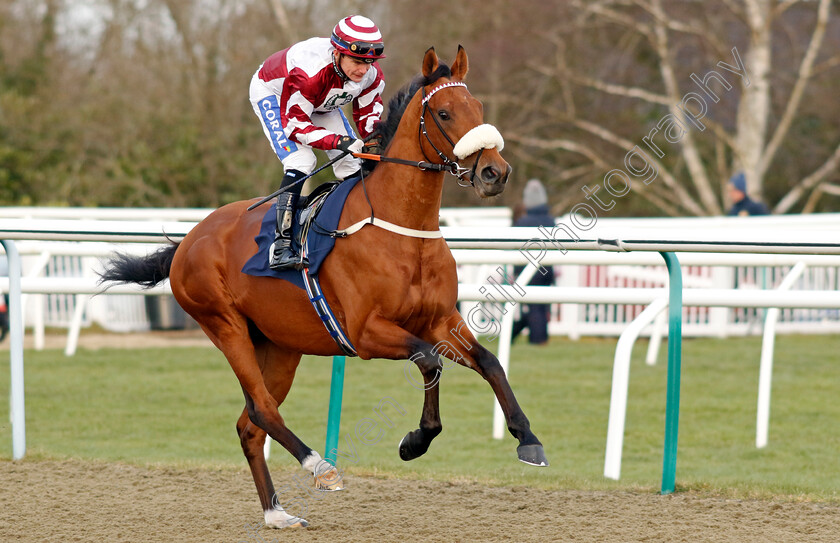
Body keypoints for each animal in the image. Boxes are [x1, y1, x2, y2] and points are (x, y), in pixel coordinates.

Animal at [100, 47, 544, 532]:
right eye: (444, 113)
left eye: (478, 108)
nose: (495, 172)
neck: (402, 230)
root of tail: (189, 239)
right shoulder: (366, 333)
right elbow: (429, 361)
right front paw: (416, 440)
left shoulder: (440, 321)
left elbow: (489, 363)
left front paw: (527, 439)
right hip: (225, 325)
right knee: (262, 408)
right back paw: (320, 467)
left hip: (279, 346)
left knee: (249, 425)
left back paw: (277, 514)